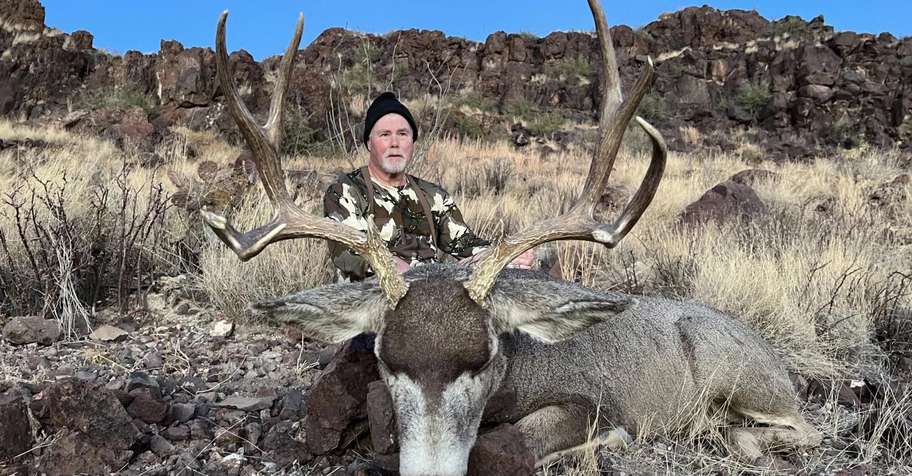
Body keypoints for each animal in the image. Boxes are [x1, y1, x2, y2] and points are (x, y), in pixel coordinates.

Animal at [200, 1, 822, 474]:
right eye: (384, 360)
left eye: (485, 358)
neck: (517, 373)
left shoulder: (595, 400)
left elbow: (508, 447)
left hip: (746, 380)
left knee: (805, 428)